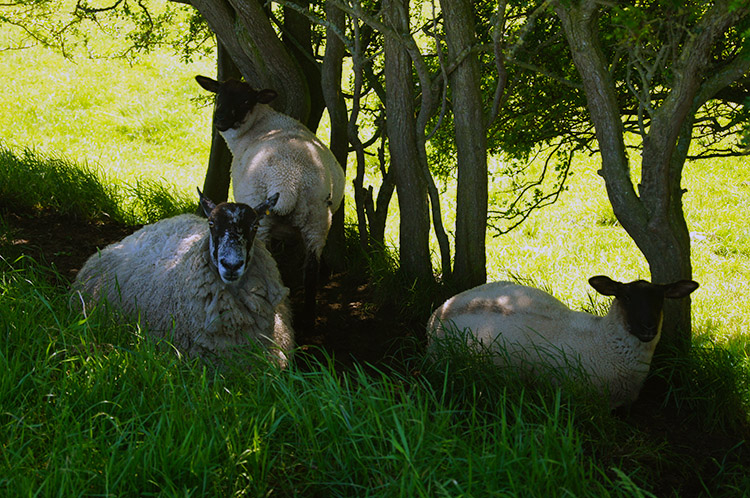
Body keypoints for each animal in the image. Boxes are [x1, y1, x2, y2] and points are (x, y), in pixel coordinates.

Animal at [194, 76, 346, 328]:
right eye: (219, 94)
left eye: (246, 100)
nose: (220, 120)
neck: (258, 124)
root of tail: (288, 180)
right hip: (317, 218)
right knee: (311, 269)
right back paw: (308, 318)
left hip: (262, 219)